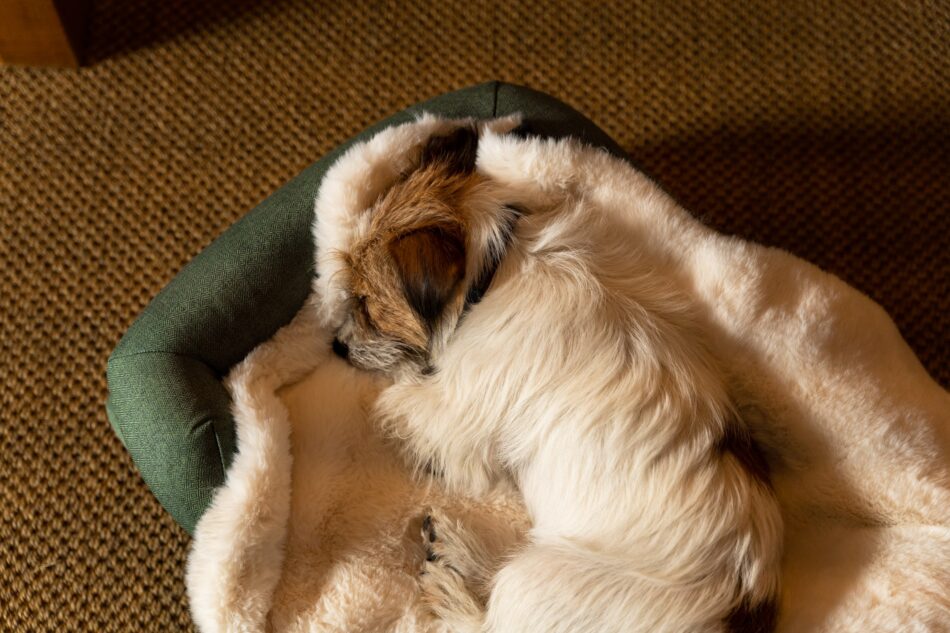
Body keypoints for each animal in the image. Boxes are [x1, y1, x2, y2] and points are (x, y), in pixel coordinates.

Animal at [316, 115, 784, 632]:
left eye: (366, 304)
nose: (336, 345)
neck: (493, 272)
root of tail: (736, 614)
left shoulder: (457, 417)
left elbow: (394, 402)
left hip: (535, 580)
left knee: (485, 622)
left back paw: (449, 578)